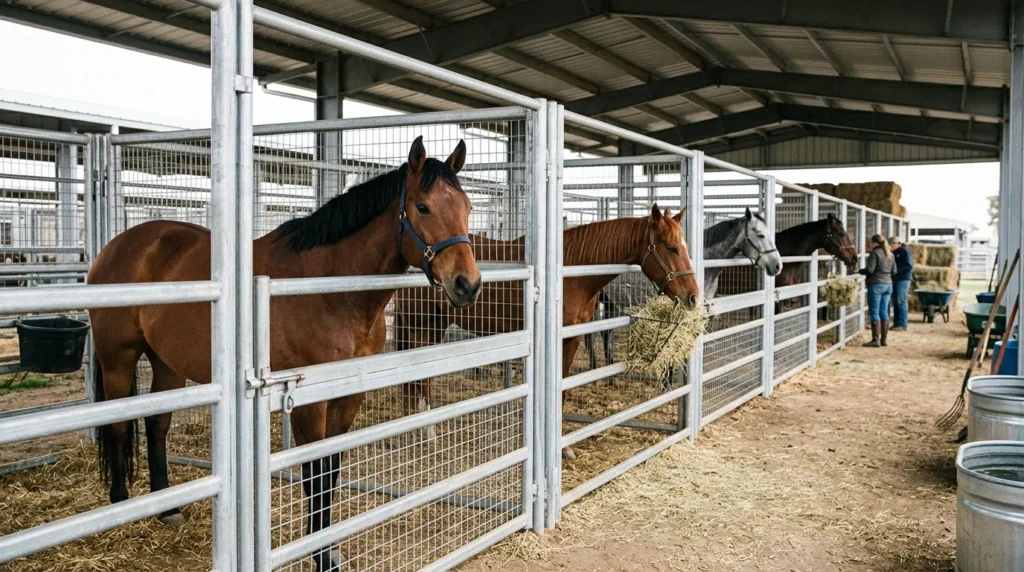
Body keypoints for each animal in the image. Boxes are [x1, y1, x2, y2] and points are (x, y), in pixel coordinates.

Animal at [87, 137, 480, 572]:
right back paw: (120, 505)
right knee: (118, 425)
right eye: (423, 207)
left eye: (467, 207)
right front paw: (321, 555)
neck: (328, 288)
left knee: (157, 423)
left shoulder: (348, 395)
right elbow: (316, 474)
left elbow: (332, 469)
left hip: (166, 363)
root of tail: (116, 247)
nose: (468, 284)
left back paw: (167, 508)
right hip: (117, 358)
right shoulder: (310, 403)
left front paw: (329, 549)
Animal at [393, 205, 701, 460]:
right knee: (419, 384)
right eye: (672, 248)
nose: (693, 296)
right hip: (422, 328)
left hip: (432, 328)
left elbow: (562, 391)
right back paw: (422, 439)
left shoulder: (573, 338)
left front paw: (564, 448)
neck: (572, 271)